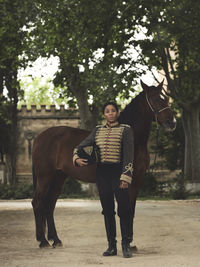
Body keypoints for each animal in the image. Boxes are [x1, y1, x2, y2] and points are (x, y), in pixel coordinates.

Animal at [31, 80, 177, 248]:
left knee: (49, 205)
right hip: (44, 177)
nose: (171, 122)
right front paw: (126, 241)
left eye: (165, 98)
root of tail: (39, 137)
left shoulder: (136, 181)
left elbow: (131, 210)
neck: (133, 141)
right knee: (38, 203)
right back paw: (43, 241)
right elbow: (124, 211)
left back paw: (55, 239)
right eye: (154, 99)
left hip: (58, 178)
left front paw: (130, 242)